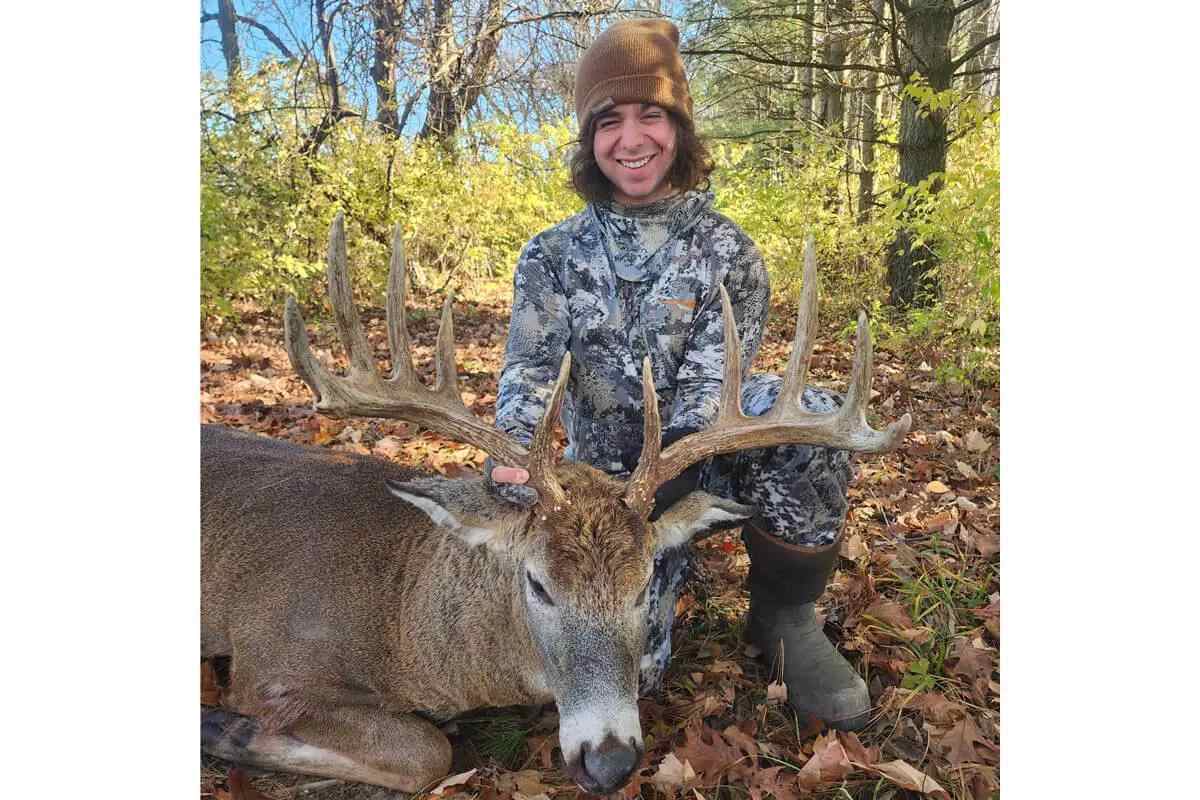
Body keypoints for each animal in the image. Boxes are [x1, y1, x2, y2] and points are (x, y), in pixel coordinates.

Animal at [200, 213, 911, 793]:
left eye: (645, 584)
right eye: (538, 585)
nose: (610, 761)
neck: (402, 620)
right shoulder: (272, 661)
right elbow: (427, 751)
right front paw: (224, 728)